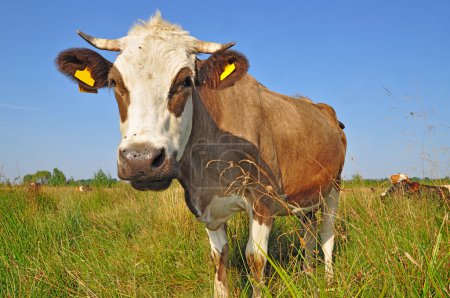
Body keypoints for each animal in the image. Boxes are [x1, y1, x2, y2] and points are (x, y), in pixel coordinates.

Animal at [55, 11, 344, 296]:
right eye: (114, 82)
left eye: (186, 81)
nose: (141, 160)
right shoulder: (206, 208)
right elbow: (219, 258)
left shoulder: (263, 198)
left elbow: (255, 259)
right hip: (309, 195)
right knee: (308, 233)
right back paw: (308, 275)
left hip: (334, 187)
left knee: (326, 235)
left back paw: (329, 281)